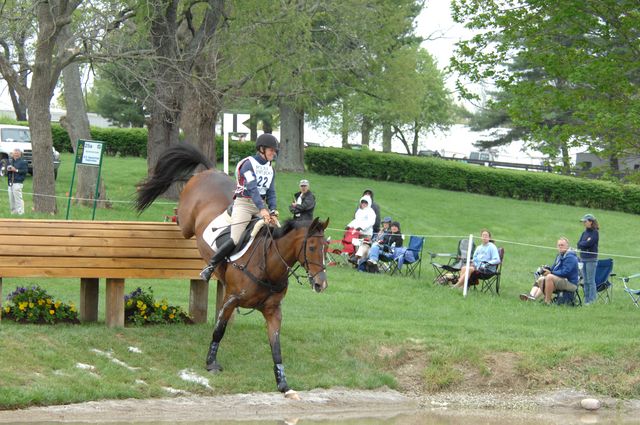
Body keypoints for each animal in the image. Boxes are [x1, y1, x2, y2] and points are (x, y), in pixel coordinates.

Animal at [133, 143, 328, 398]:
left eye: (327, 248)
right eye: (312, 247)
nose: (321, 284)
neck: (268, 264)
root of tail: (209, 171)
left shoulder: (273, 311)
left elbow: (276, 346)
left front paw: (283, 384)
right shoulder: (231, 300)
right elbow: (219, 330)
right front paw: (210, 364)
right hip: (187, 223)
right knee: (182, 224)